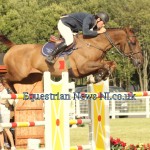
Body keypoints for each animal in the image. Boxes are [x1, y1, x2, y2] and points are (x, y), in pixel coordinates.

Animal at [0, 27, 143, 92]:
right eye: (133, 42)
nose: (139, 62)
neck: (93, 44)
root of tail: (13, 47)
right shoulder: (83, 68)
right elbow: (105, 65)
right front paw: (99, 75)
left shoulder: (93, 65)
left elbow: (110, 64)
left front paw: (100, 76)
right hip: (18, 74)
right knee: (5, 78)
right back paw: (10, 92)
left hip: (29, 79)